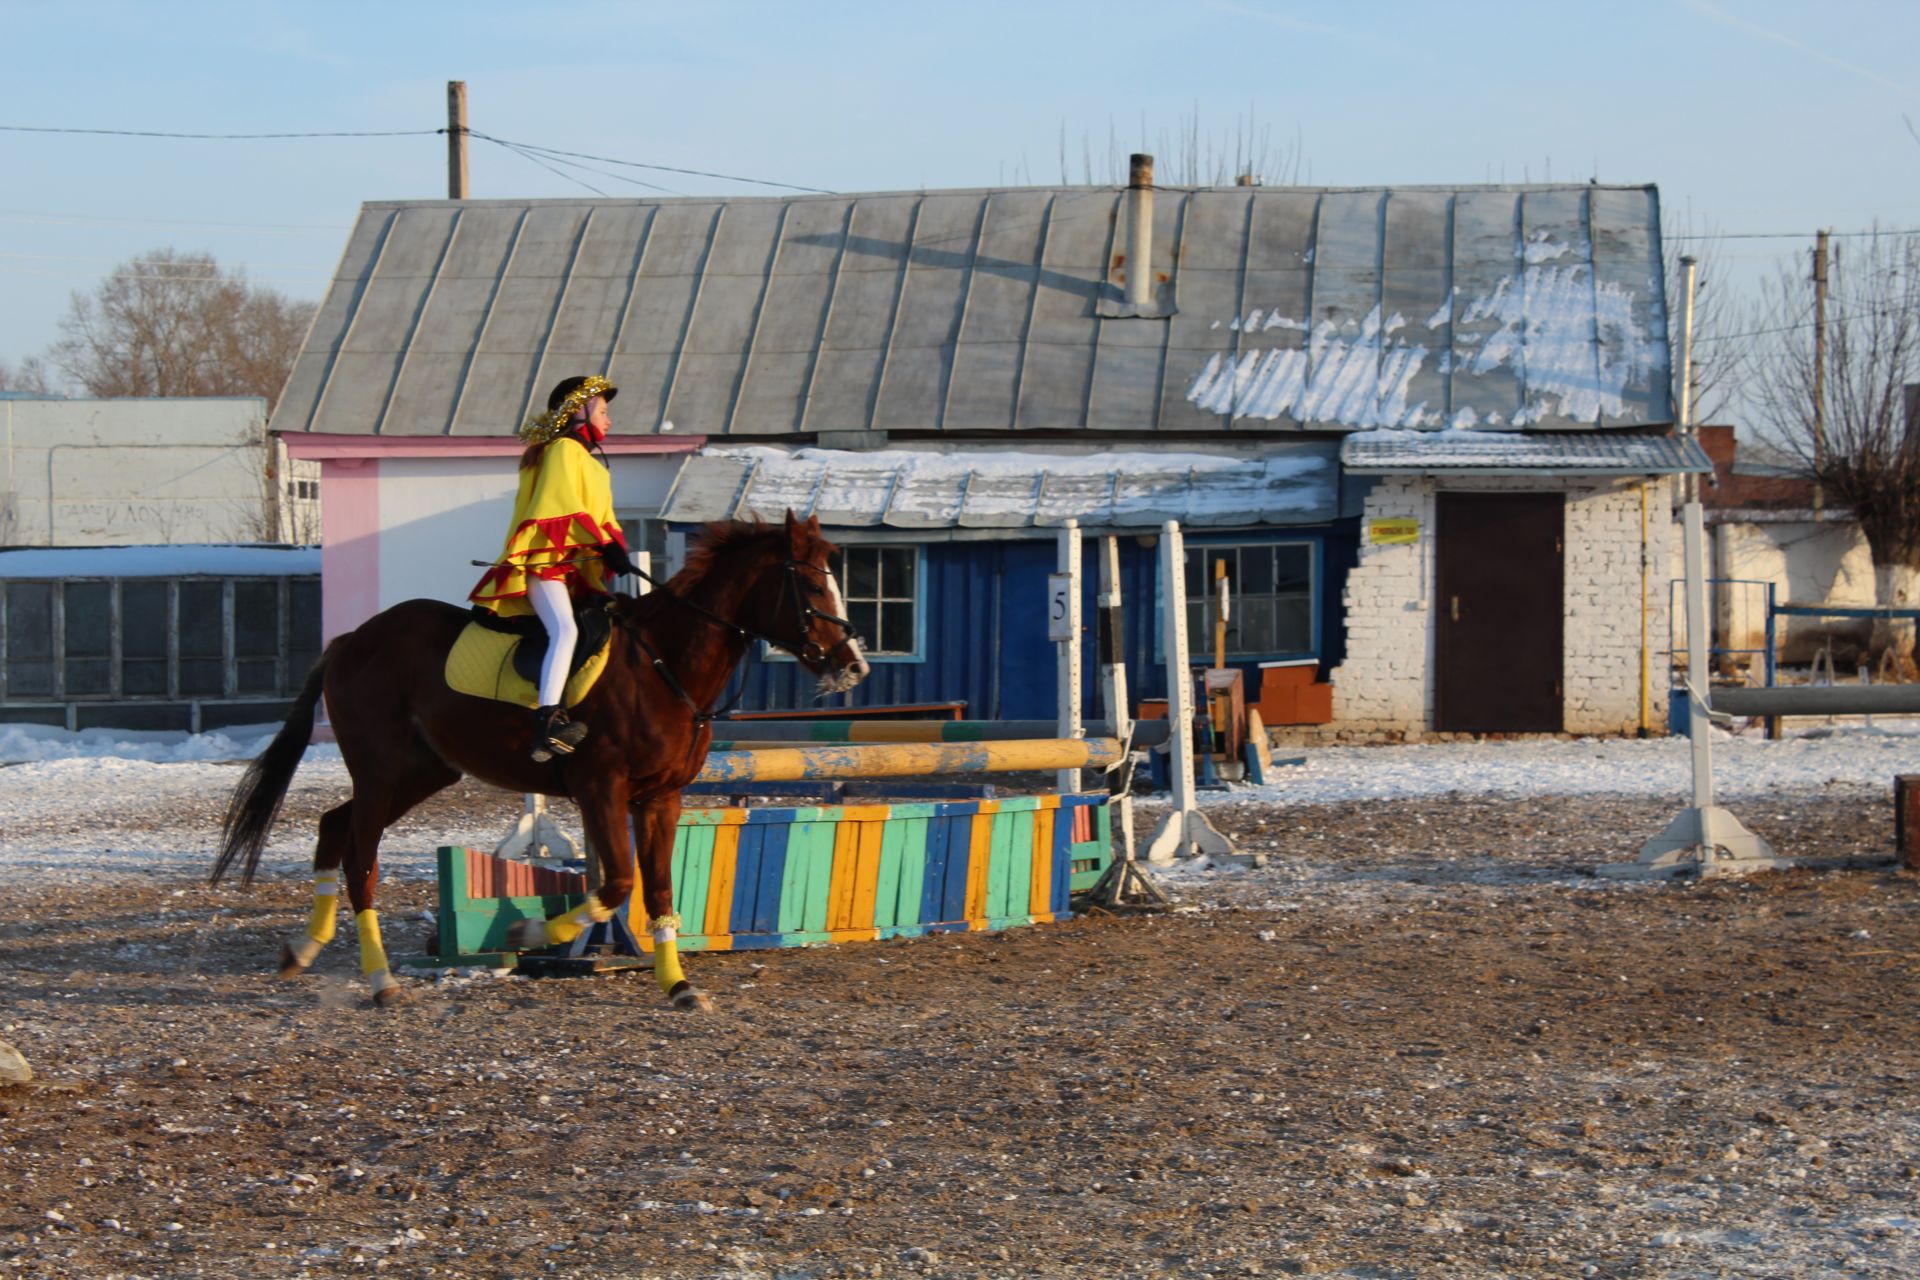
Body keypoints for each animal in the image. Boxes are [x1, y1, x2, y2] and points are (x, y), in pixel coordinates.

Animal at [212, 514, 871, 1013]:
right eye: (813, 587)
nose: (854, 664)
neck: (664, 664)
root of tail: (352, 639)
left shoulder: (661, 797)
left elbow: (657, 888)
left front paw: (679, 986)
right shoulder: (601, 787)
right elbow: (616, 881)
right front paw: (527, 933)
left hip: (423, 771)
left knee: (332, 826)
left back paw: (302, 951)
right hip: (381, 770)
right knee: (359, 859)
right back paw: (380, 981)